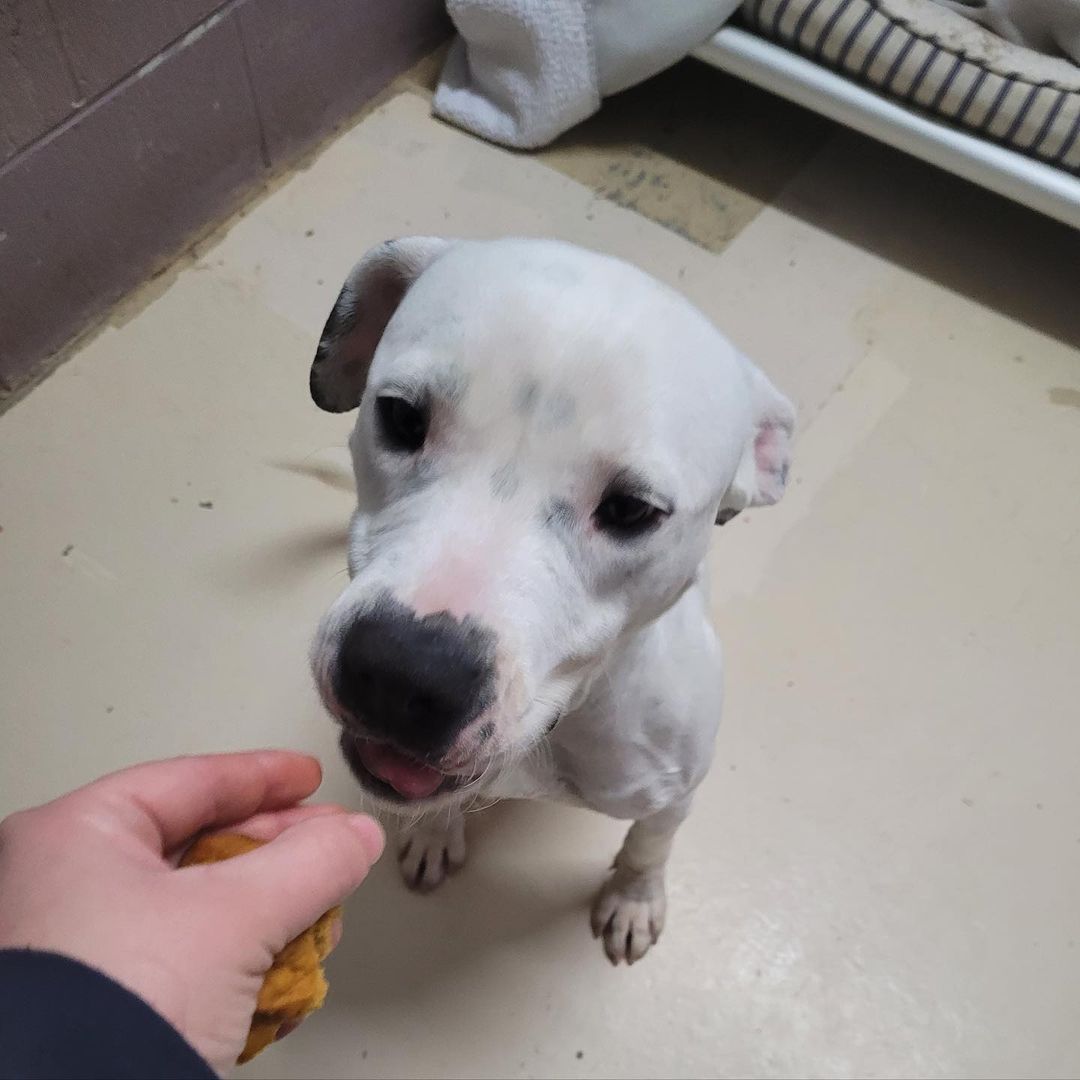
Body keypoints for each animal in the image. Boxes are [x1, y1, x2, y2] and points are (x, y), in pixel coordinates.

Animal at [308, 240, 790, 967]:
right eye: (401, 416)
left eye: (633, 510)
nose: (402, 674)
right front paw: (434, 831)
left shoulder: (673, 793)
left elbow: (650, 843)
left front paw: (634, 896)